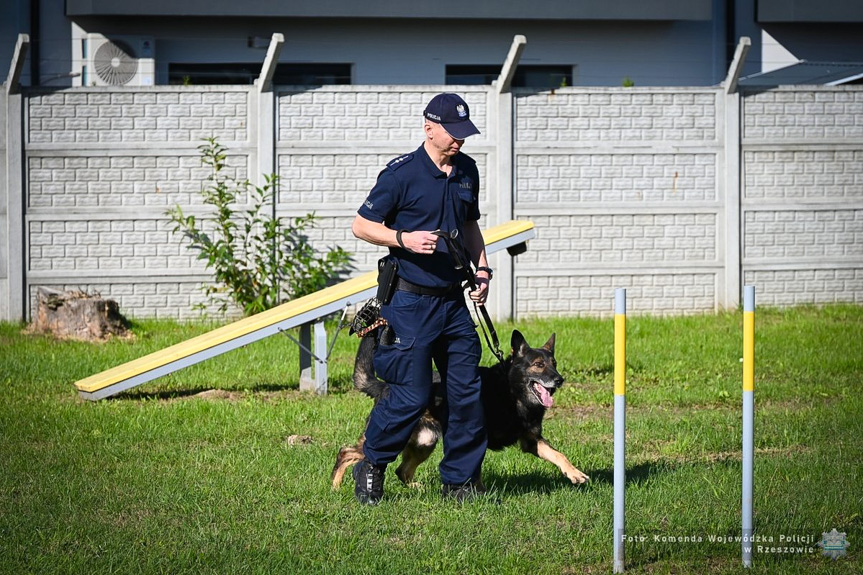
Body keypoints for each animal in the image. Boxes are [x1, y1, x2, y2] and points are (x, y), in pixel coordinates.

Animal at [332, 328, 592, 490]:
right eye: (538, 365)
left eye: (554, 364)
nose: (559, 380)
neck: (512, 392)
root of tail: (387, 386)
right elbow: (473, 469)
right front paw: (478, 492)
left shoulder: (531, 440)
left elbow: (558, 454)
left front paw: (574, 473)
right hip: (395, 438)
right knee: (347, 452)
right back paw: (336, 486)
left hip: (424, 443)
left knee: (401, 471)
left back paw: (415, 487)